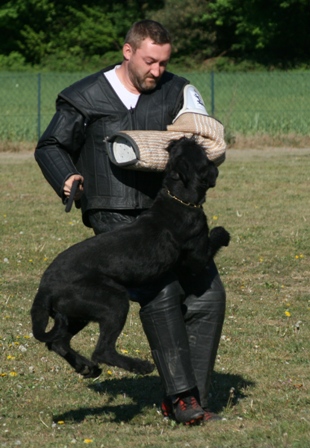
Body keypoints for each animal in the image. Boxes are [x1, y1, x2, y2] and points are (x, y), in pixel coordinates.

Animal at [30, 136, 230, 378]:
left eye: (176, 149)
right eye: (201, 152)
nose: (183, 137)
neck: (177, 196)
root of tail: (44, 288)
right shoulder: (197, 260)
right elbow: (214, 238)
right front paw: (223, 233)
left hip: (75, 314)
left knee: (58, 342)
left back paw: (86, 366)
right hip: (113, 302)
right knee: (102, 350)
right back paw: (140, 366)